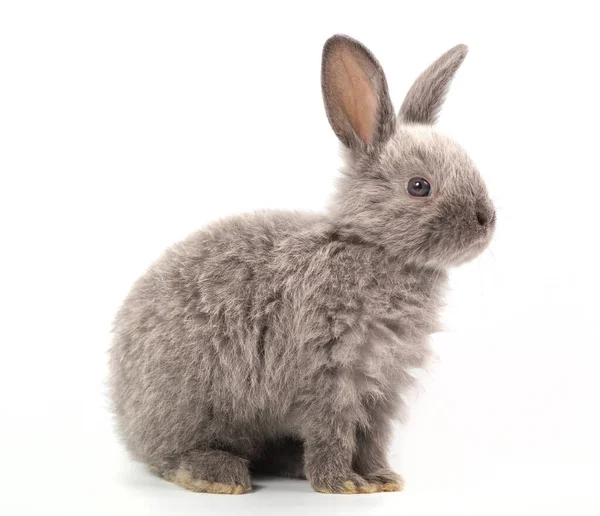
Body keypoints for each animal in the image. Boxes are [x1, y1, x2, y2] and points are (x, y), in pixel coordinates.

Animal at [108, 34, 496, 494]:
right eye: (419, 186)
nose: (487, 219)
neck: (373, 248)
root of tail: (122, 409)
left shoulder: (382, 388)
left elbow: (373, 439)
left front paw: (381, 479)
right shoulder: (327, 377)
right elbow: (333, 434)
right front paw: (341, 484)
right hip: (190, 408)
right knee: (171, 457)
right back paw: (220, 475)